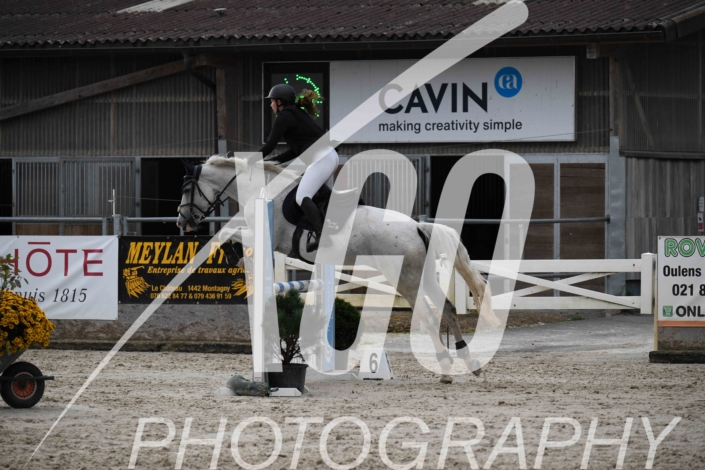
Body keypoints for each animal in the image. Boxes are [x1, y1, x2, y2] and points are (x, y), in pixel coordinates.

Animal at [176, 155, 497, 384]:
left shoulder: (267, 236)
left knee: (430, 317)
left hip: (406, 280)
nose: (182, 222)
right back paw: (470, 364)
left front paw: (236, 257)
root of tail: (417, 226)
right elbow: (230, 234)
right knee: (449, 310)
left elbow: (227, 234)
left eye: (187, 188)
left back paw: (445, 370)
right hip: (424, 276)